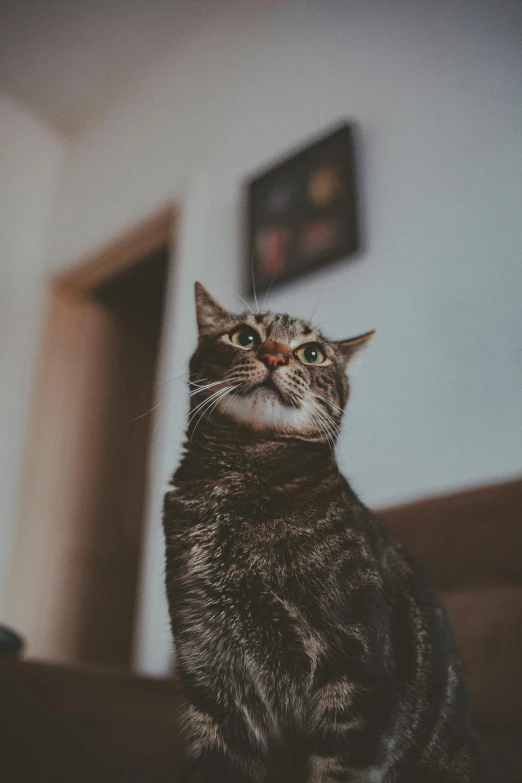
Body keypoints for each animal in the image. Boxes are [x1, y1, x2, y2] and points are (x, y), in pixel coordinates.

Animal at [161, 284, 476, 783]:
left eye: (312, 353)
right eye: (244, 337)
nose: (273, 355)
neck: (237, 486)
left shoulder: (357, 674)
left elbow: (338, 767)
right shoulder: (209, 672)